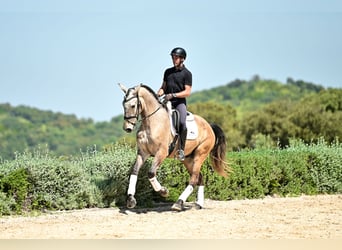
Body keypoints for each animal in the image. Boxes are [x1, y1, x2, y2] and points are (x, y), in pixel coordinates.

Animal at [118, 83, 230, 211]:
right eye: (123, 105)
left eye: (133, 105)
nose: (127, 128)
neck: (152, 122)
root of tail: (209, 126)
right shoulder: (143, 153)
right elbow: (134, 171)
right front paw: (131, 200)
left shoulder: (161, 152)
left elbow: (151, 173)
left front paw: (163, 191)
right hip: (188, 159)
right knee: (199, 178)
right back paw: (198, 204)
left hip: (200, 154)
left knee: (194, 178)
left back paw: (179, 203)